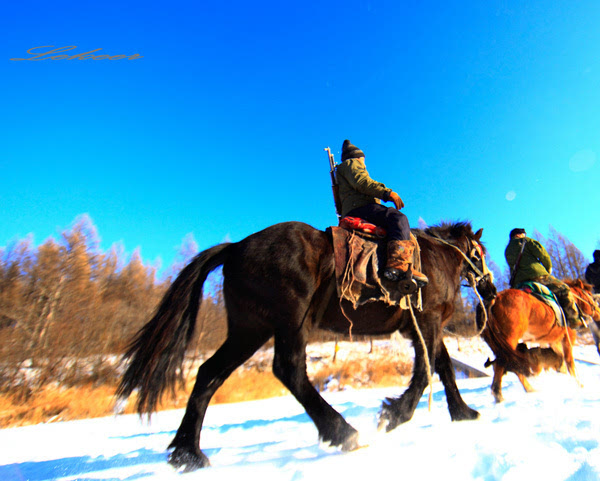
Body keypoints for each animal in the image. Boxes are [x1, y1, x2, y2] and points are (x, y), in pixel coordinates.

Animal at [116, 219, 492, 470]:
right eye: (480, 253)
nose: (489, 288)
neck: (438, 258)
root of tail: (237, 247)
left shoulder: (424, 328)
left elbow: (444, 367)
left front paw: (463, 412)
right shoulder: (426, 322)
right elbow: (427, 371)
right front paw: (394, 414)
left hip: (249, 330)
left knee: (209, 374)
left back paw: (188, 453)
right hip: (291, 320)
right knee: (289, 369)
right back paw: (343, 433)